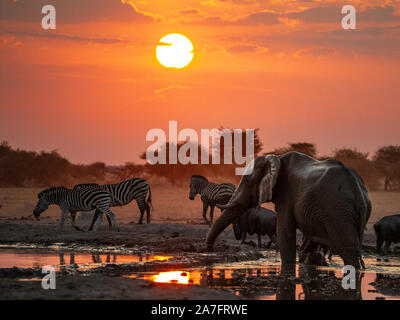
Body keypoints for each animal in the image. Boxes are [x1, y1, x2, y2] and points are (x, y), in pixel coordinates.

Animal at [206, 151, 372, 274]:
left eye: (246, 180)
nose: (210, 249)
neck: (275, 158)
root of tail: (357, 189)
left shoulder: (286, 194)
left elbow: (285, 234)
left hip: (337, 211)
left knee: (348, 251)